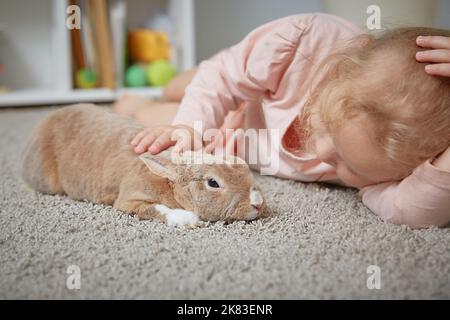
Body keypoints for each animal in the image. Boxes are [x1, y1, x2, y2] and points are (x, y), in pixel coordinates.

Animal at [22, 104, 264, 226]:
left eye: (242, 165)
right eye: (213, 183)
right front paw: (188, 219)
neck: (170, 183)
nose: (258, 203)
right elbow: (156, 209)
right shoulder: (130, 199)